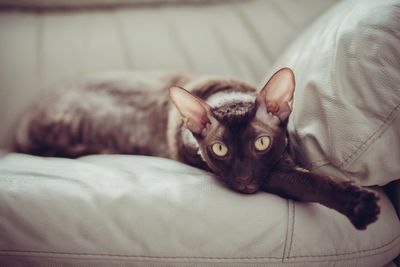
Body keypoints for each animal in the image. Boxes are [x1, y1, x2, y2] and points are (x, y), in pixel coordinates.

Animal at [14, 67, 378, 230]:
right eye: (219, 150)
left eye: (261, 143)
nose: (244, 179)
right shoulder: (272, 173)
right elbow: (306, 180)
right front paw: (357, 205)